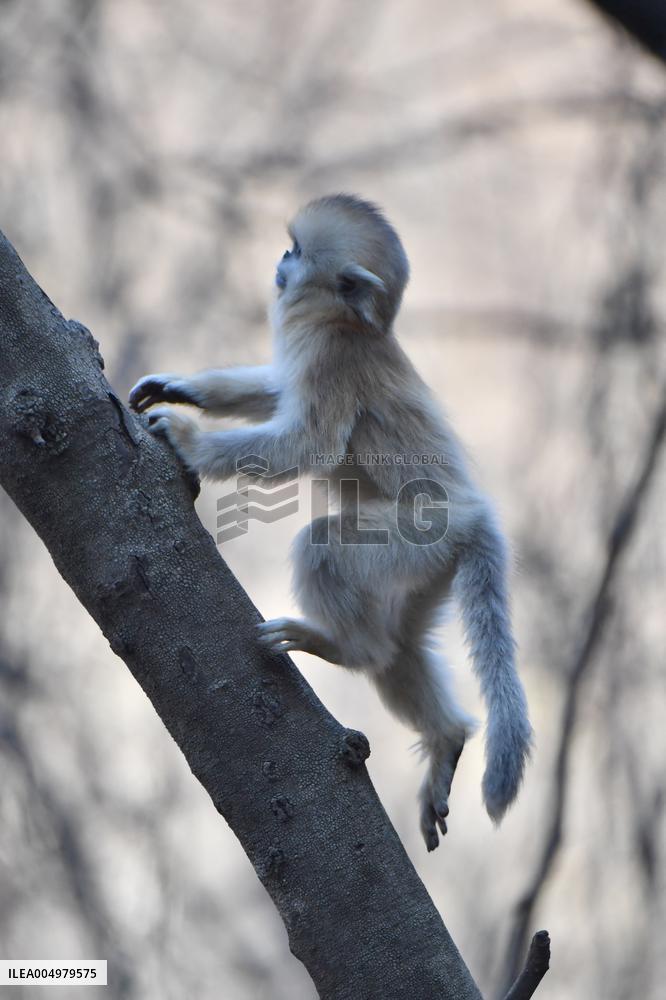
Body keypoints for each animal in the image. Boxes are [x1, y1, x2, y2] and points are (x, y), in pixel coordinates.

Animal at [129, 194, 532, 851]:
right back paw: (445, 737)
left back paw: (342, 645)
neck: (351, 325)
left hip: (418, 538)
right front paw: (182, 388)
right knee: (400, 648)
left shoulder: (328, 359)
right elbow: (275, 392)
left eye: (297, 251)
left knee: (327, 550)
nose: (279, 258)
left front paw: (188, 441)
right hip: (432, 570)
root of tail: (477, 518)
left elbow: (305, 443)